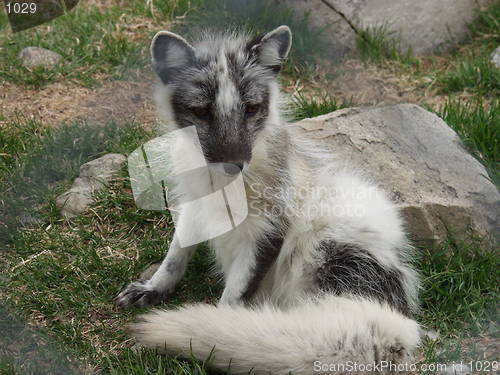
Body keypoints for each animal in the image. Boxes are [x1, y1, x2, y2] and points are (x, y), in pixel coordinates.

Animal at [117, 26, 422, 375]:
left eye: (251, 108)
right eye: (201, 111)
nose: (235, 165)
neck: (220, 187)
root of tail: (396, 314)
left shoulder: (267, 232)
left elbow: (234, 295)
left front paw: (221, 329)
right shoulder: (194, 206)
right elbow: (175, 255)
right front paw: (153, 287)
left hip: (329, 250)